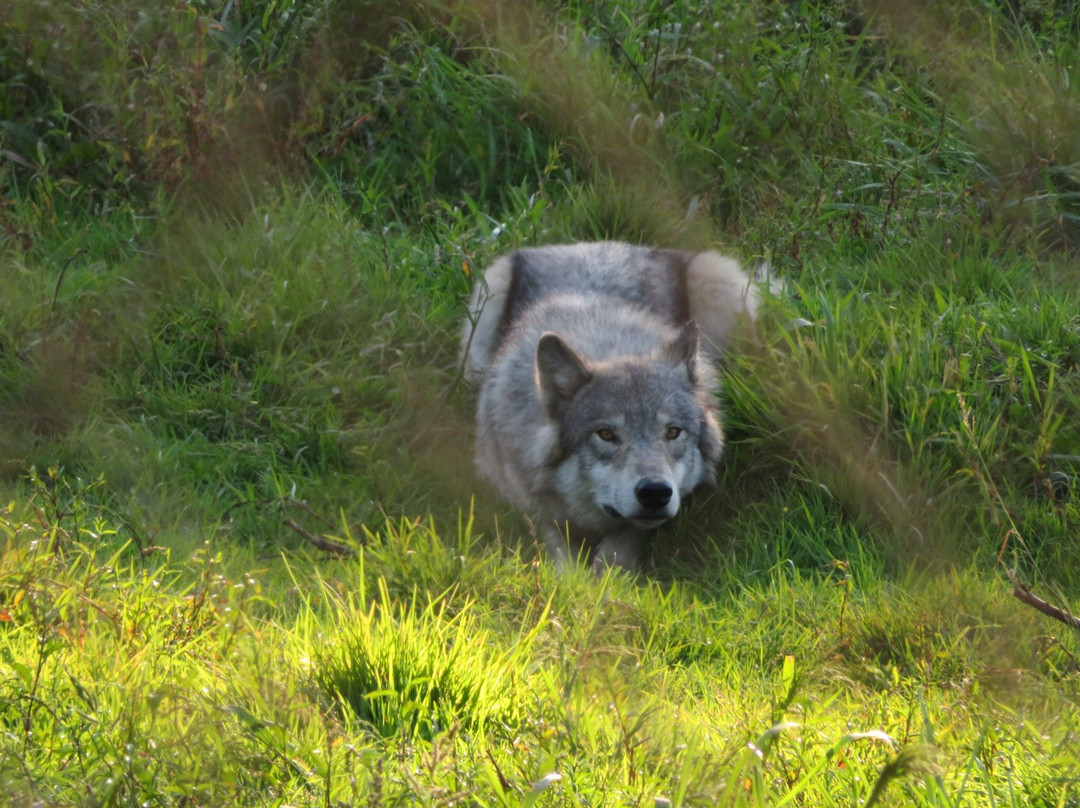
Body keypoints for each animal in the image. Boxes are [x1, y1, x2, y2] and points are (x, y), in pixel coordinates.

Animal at [462, 243, 760, 570]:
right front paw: (573, 576)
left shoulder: (641, 523)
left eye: (673, 432)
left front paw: (606, 576)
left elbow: (621, 545)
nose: (655, 493)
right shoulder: (523, 495)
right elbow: (554, 543)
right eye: (605, 434)